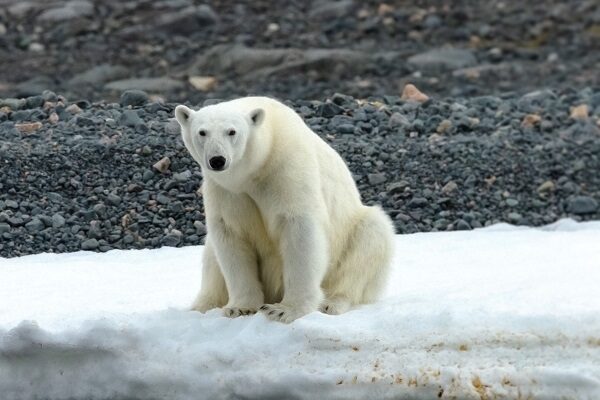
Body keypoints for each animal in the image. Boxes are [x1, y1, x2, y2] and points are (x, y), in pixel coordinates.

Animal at [175, 98, 394, 324]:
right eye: (202, 132)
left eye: (232, 131)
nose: (217, 160)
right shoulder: (226, 190)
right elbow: (231, 235)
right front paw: (240, 308)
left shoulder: (286, 168)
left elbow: (300, 229)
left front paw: (285, 310)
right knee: (211, 257)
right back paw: (201, 306)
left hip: (351, 235)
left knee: (369, 240)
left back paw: (331, 302)